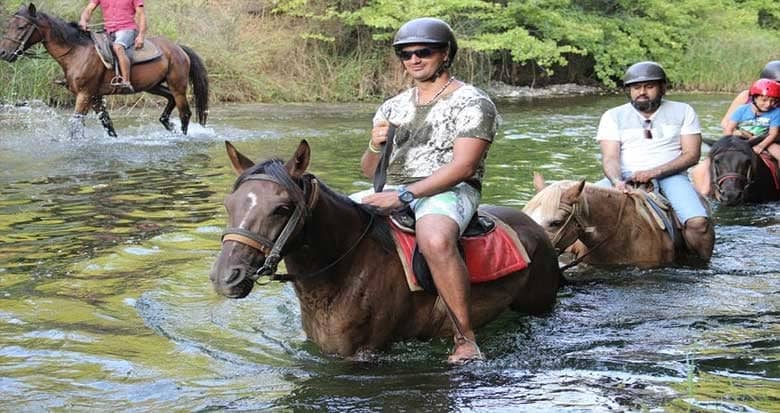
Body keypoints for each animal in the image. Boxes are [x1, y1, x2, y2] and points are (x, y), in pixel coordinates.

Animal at [0, 4, 208, 137]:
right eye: (8, 25)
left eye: (21, 27)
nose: (3, 53)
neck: (76, 51)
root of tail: (179, 48)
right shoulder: (95, 97)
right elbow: (107, 124)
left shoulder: (84, 94)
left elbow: (75, 125)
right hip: (153, 86)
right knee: (170, 100)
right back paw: (167, 124)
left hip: (178, 86)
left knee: (185, 113)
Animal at [209, 140, 562, 361]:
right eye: (229, 203)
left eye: (282, 208)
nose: (226, 276)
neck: (346, 269)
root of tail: (535, 228)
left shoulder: (363, 354)